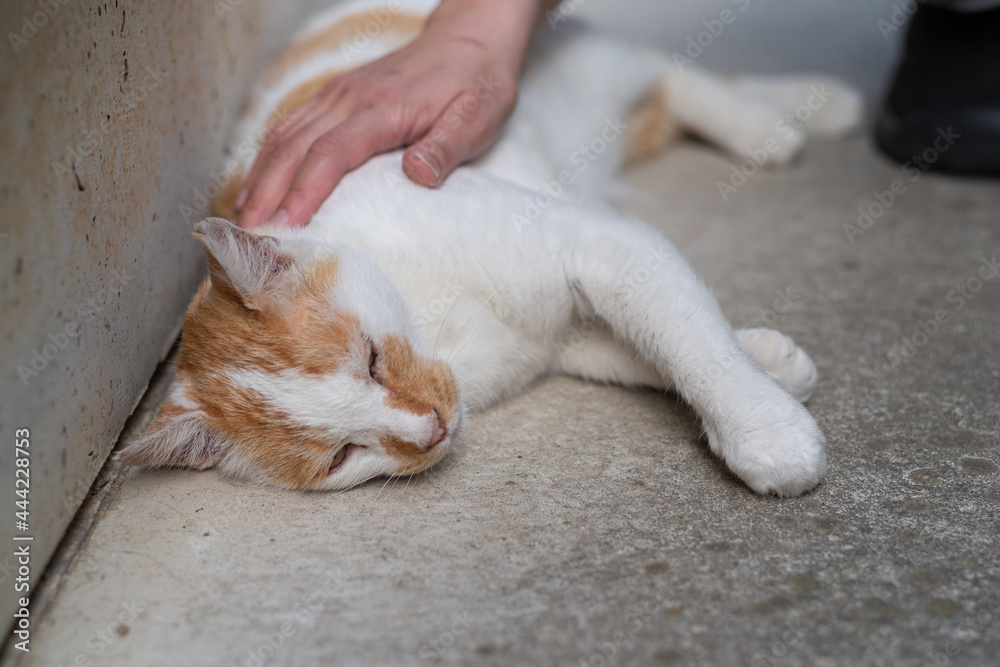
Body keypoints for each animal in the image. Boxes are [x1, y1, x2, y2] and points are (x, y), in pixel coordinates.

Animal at [119, 0, 860, 496]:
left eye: (371, 360)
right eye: (342, 457)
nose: (430, 428)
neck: (440, 325)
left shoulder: (597, 243)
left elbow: (690, 344)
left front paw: (765, 432)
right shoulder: (568, 333)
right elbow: (652, 348)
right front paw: (772, 362)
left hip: (581, 64)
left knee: (672, 73)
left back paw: (785, 119)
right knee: (665, 97)